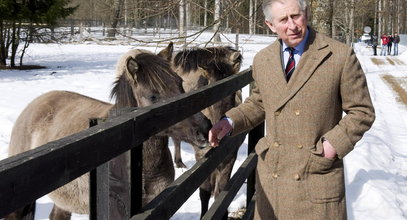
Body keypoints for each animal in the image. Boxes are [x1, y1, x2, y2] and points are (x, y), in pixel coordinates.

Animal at [164, 45, 247, 219]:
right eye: (211, 92)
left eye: (233, 93)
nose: (219, 133)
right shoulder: (202, 156)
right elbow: (205, 192)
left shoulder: (229, 155)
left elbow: (220, 192)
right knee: (176, 140)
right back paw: (179, 162)